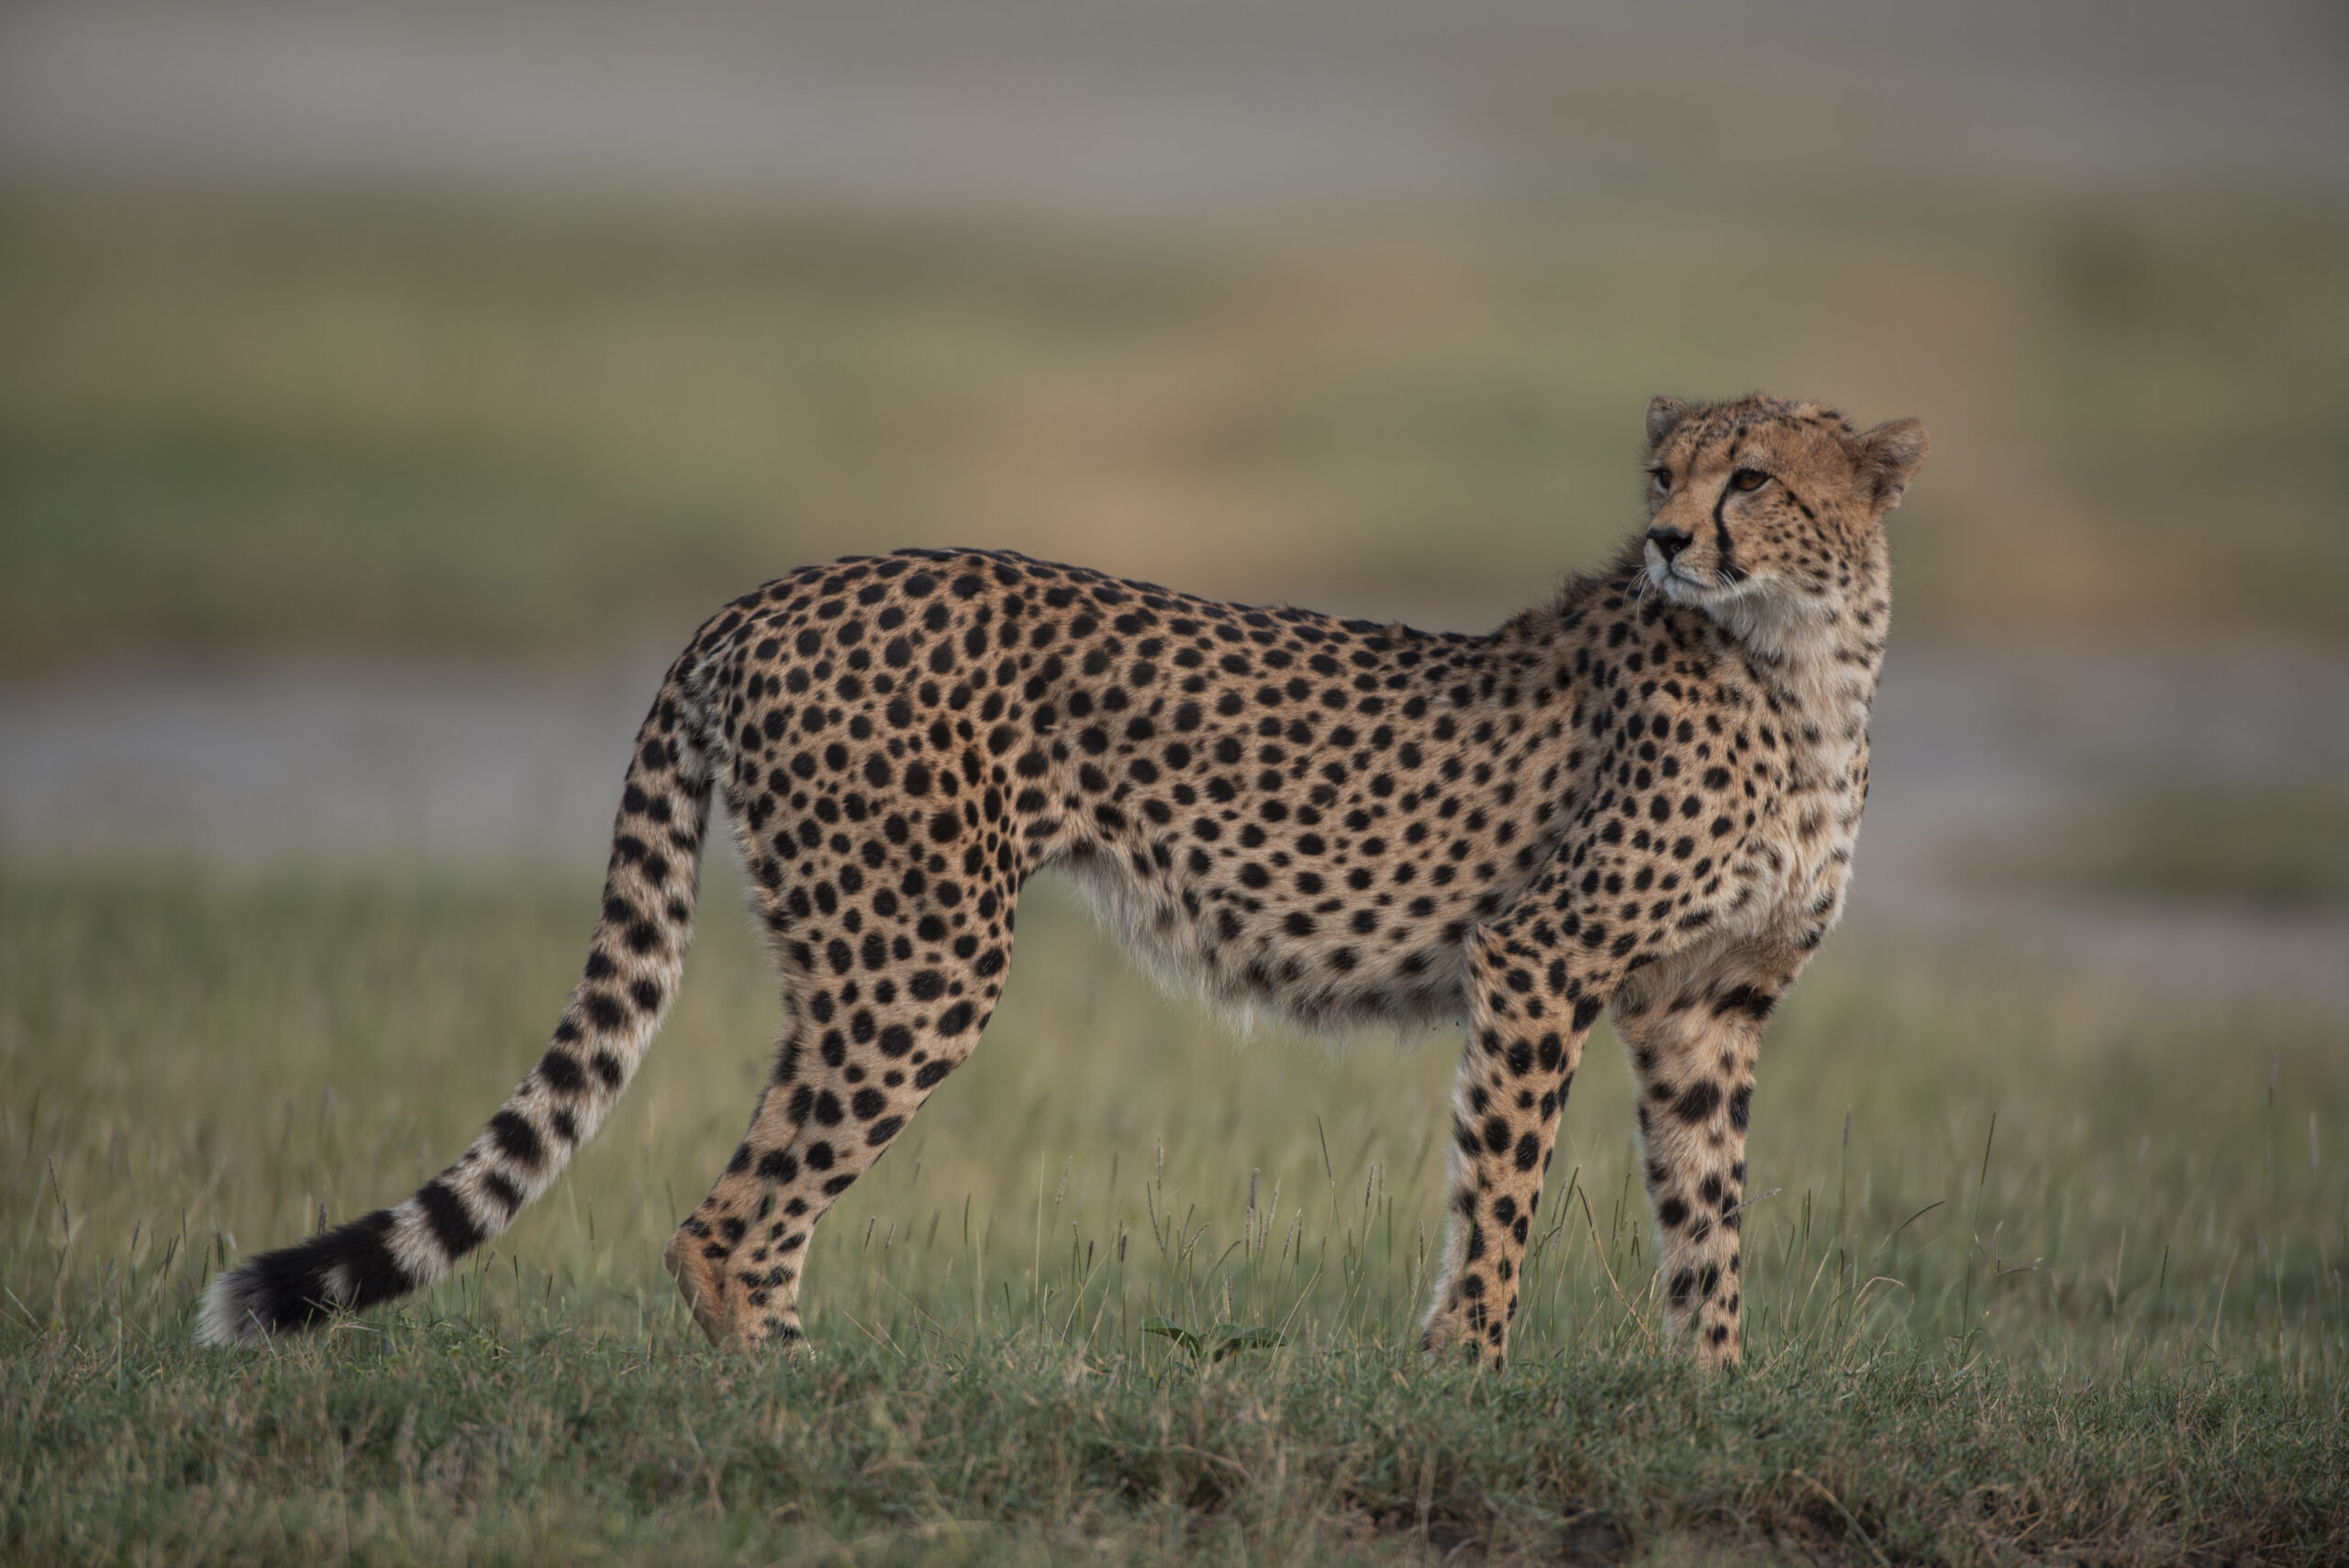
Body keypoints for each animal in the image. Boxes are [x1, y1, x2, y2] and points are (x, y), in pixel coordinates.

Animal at [199, 392, 1928, 1369]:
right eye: (1665, 469)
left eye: (1752, 476)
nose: (1669, 539)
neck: (1802, 664)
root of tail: (778, 588)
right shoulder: (1539, 962)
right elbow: (1501, 1194)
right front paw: (1467, 1380)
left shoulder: (1710, 1009)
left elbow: (1709, 1213)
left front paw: (1716, 1396)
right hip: (921, 958)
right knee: (729, 1215)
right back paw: (798, 1405)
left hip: (862, 958)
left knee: (761, 1197)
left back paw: (806, 1376)